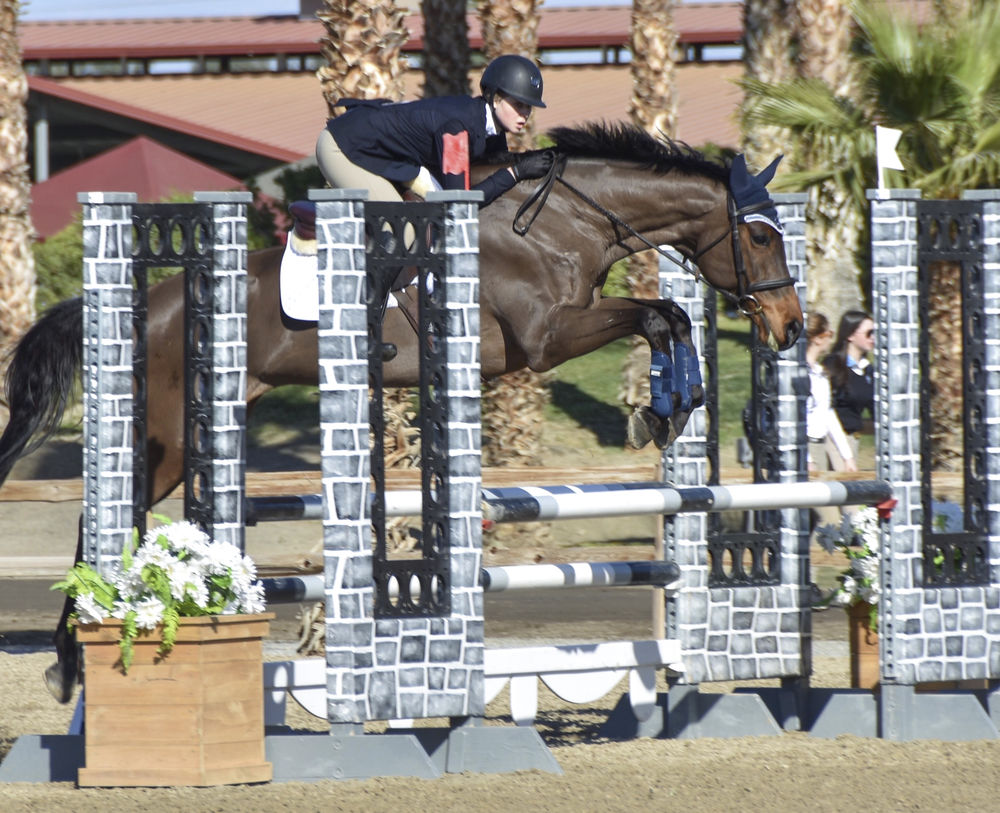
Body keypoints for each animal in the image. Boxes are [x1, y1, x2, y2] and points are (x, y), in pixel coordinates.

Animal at [0, 120, 800, 696]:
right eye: (760, 235)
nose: (790, 327)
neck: (563, 221)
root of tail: (148, 303)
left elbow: (672, 314)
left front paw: (671, 406)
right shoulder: (546, 339)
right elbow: (661, 316)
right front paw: (665, 406)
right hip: (164, 432)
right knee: (104, 519)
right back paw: (70, 663)